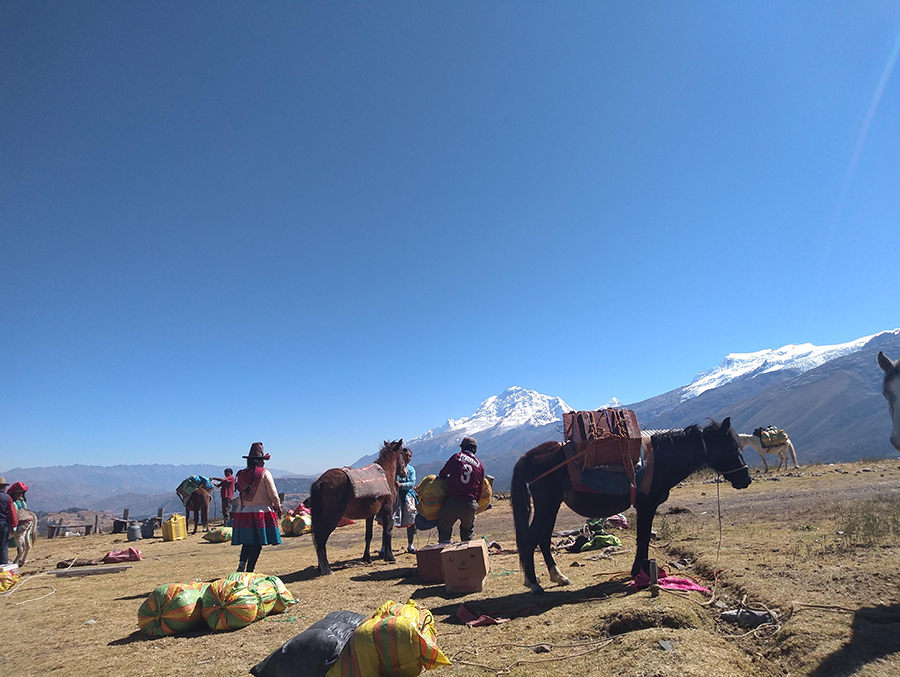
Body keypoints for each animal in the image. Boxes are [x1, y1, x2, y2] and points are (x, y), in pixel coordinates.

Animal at [312, 438, 404, 576]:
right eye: (402, 454)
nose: (404, 472)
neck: (385, 473)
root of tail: (320, 481)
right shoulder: (387, 509)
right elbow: (387, 531)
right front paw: (390, 557)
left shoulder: (370, 514)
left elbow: (368, 535)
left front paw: (367, 558)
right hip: (331, 519)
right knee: (321, 539)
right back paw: (327, 569)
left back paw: (321, 567)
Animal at [512, 418, 752, 592]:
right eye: (731, 447)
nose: (746, 479)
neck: (663, 459)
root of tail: (527, 456)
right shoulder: (647, 505)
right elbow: (643, 537)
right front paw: (640, 571)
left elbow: (642, 537)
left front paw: (640, 570)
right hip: (547, 505)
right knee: (532, 539)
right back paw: (534, 583)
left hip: (550, 507)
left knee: (543, 539)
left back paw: (558, 577)